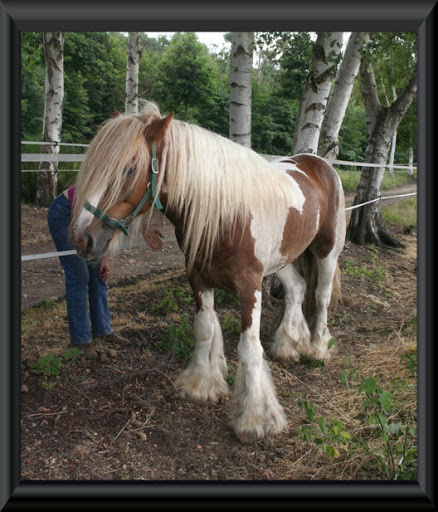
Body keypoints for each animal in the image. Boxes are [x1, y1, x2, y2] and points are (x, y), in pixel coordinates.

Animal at [71, 104, 346, 444]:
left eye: (130, 169)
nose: (82, 239)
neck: (228, 213)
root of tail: (318, 163)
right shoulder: (198, 279)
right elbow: (204, 329)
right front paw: (201, 386)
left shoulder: (250, 288)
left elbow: (248, 346)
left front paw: (256, 418)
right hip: (282, 260)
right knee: (297, 290)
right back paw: (288, 346)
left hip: (327, 251)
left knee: (320, 296)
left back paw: (318, 348)